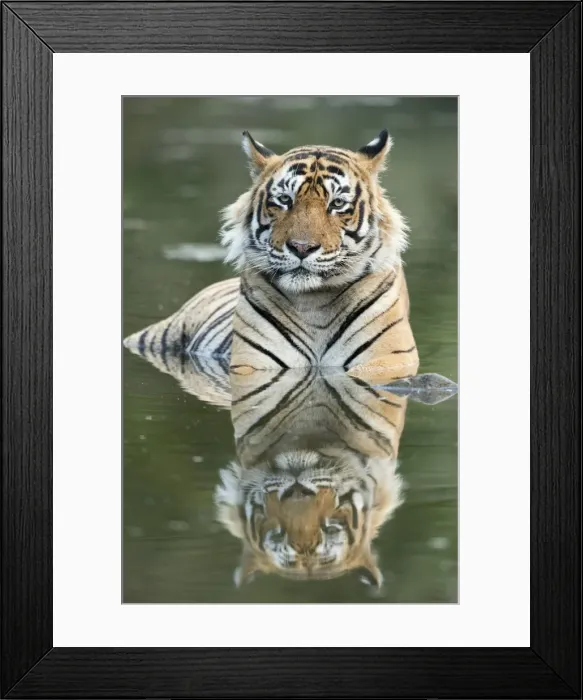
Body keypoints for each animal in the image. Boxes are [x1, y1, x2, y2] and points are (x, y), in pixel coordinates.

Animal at [124, 129, 419, 381]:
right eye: (285, 200)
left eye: (336, 204)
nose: (301, 247)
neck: (314, 303)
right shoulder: (252, 364)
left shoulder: (387, 359)